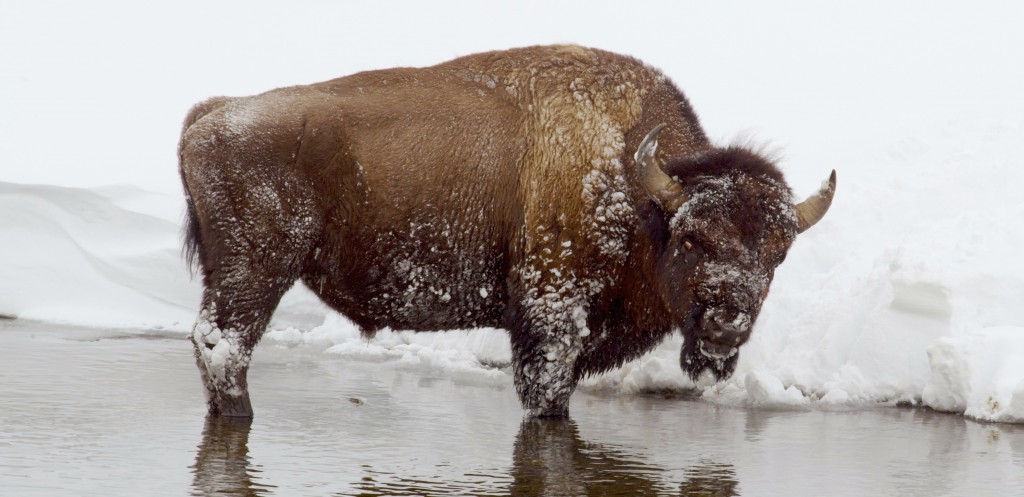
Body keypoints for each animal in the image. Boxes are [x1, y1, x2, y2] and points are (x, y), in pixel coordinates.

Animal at [176, 43, 831, 418]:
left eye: (777, 254)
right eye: (693, 237)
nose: (728, 322)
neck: (633, 181)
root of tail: (211, 114)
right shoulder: (553, 320)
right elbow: (547, 399)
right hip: (256, 272)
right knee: (225, 346)